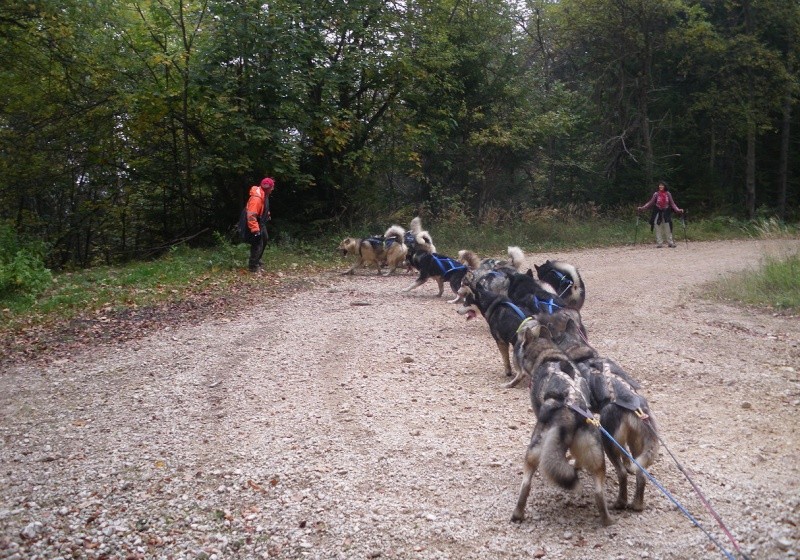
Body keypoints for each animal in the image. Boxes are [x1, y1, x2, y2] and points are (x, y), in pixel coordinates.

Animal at [510, 322, 616, 528]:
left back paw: (517, 514)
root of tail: (571, 409)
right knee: (599, 493)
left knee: (525, 485)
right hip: (596, 458)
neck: (547, 354)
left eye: (520, 343)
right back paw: (607, 520)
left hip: (533, 451)